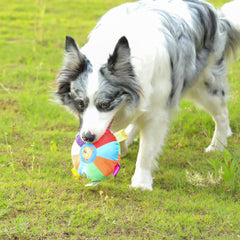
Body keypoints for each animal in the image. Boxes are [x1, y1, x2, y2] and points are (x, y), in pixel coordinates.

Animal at [55, 0, 240, 191]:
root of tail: (215, 14)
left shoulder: (157, 111)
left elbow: (146, 150)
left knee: (221, 114)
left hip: (206, 86)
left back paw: (218, 144)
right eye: (80, 104)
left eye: (105, 104)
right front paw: (124, 146)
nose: (87, 137)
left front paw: (141, 182)